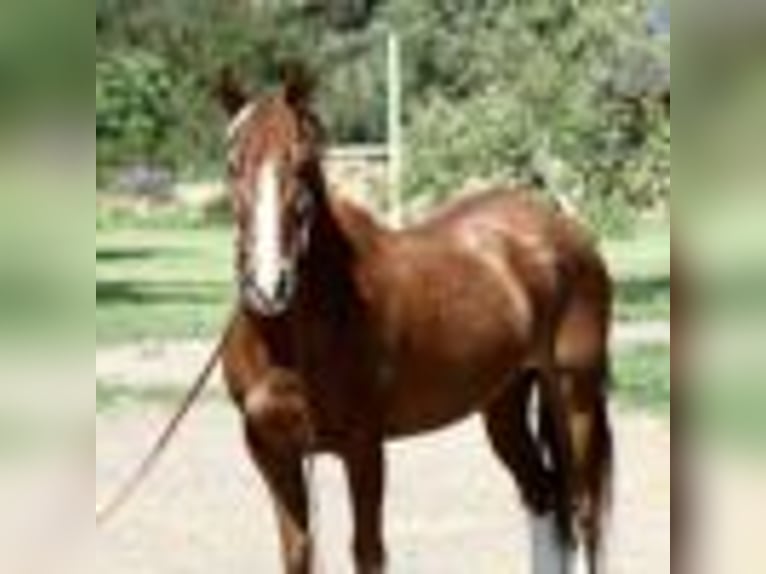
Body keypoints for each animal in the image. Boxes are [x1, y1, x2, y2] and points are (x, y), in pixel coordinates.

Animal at [217, 67, 614, 574]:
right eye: (232, 164)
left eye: (304, 164)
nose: (269, 286)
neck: (289, 338)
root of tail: (567, 231)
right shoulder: (270, 449)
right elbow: (297, 553)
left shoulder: (364, 447)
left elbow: (368, 551)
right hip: (504, 402)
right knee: (542, 496)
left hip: (573, 394)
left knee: (580, 511)